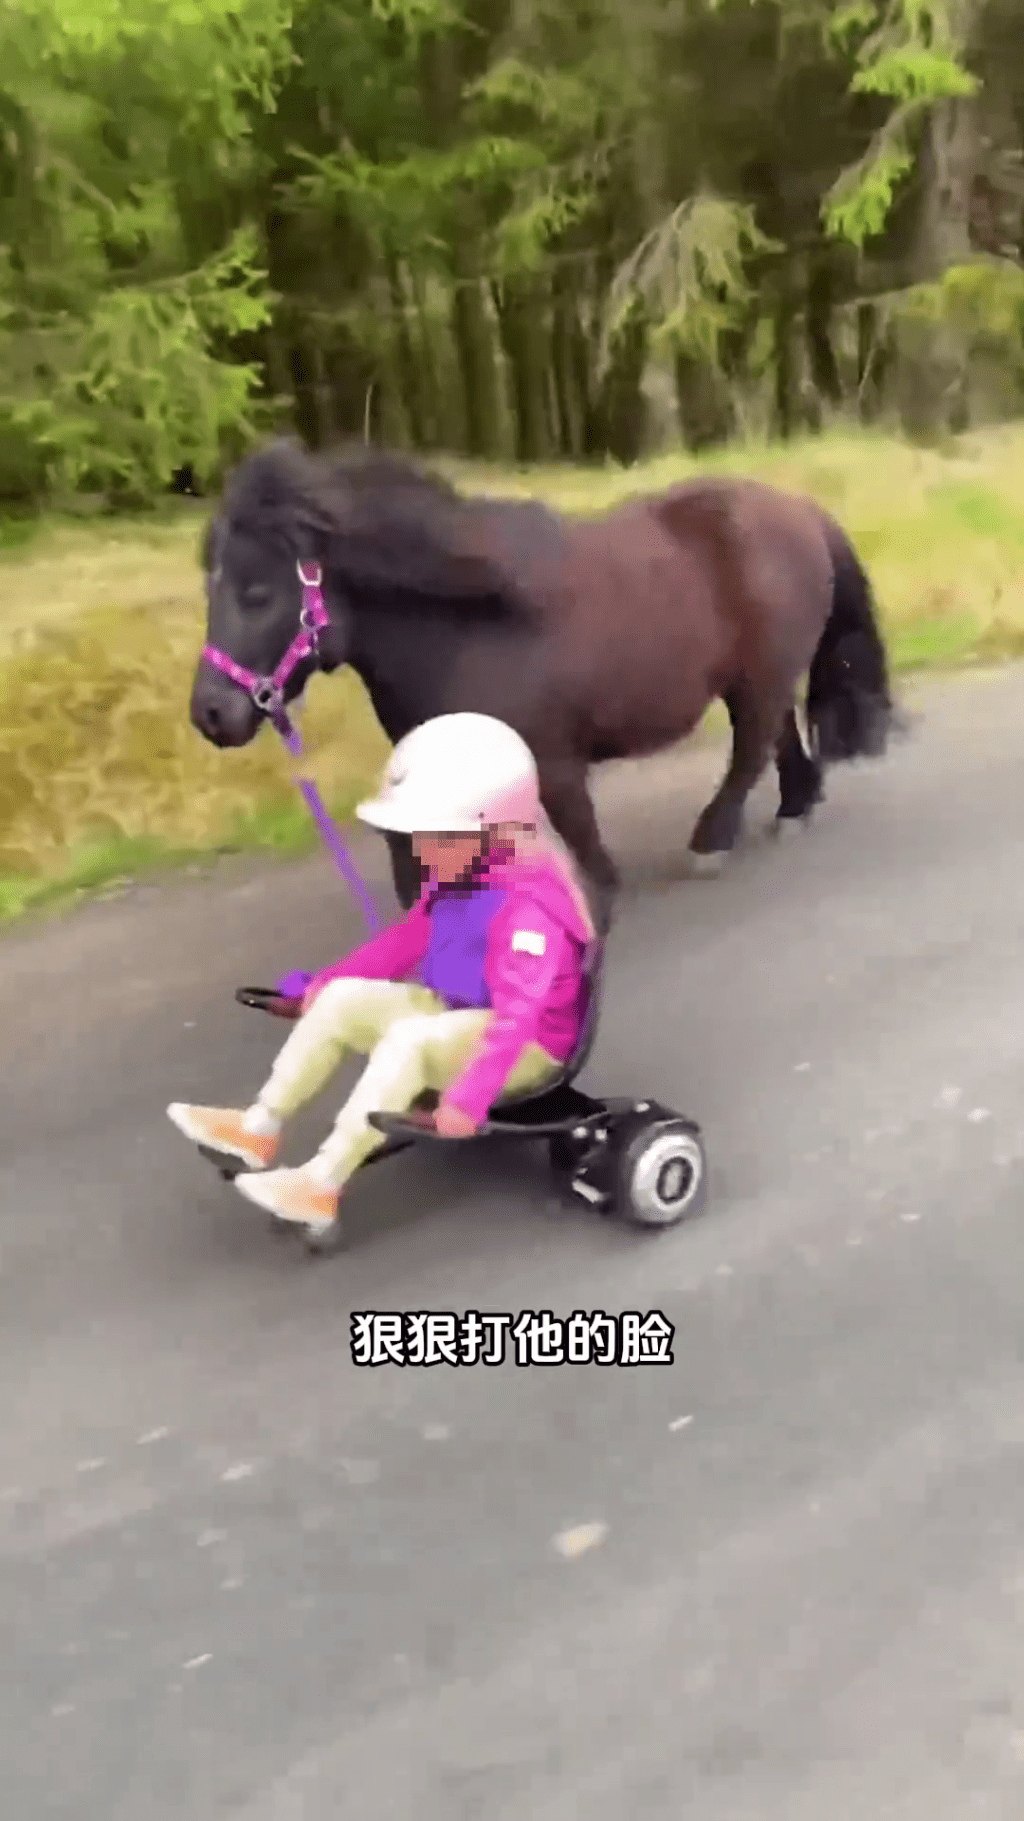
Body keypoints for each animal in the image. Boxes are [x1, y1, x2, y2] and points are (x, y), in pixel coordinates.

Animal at [189, 437, 898, 927]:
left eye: (257, 592)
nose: (211, 715)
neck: (468, 626)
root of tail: (801, 510)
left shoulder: (554, 761)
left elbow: (578, 836)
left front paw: (594, 899)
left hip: (758, 679)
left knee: (751, 750)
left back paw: (712, 840)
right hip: (758, 676)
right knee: (778, 739)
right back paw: (793, 807)